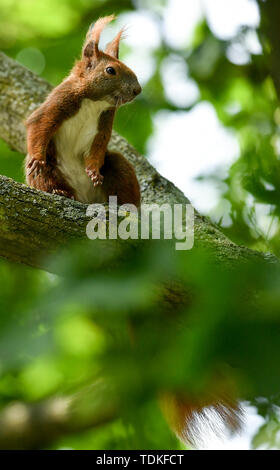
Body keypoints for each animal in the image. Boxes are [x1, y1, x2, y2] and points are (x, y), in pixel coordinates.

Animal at [25, 15, 141, 207]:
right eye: (110, 70)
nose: (137, 90)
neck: (94, 102)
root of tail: (84, 198)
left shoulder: (105, 121)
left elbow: (99, 144)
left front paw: (93, 170)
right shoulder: (60, 100)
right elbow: (39, 123)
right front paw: (37, 156)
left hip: (118, 167)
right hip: (49, 172)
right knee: (45, 176)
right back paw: (60, 191)